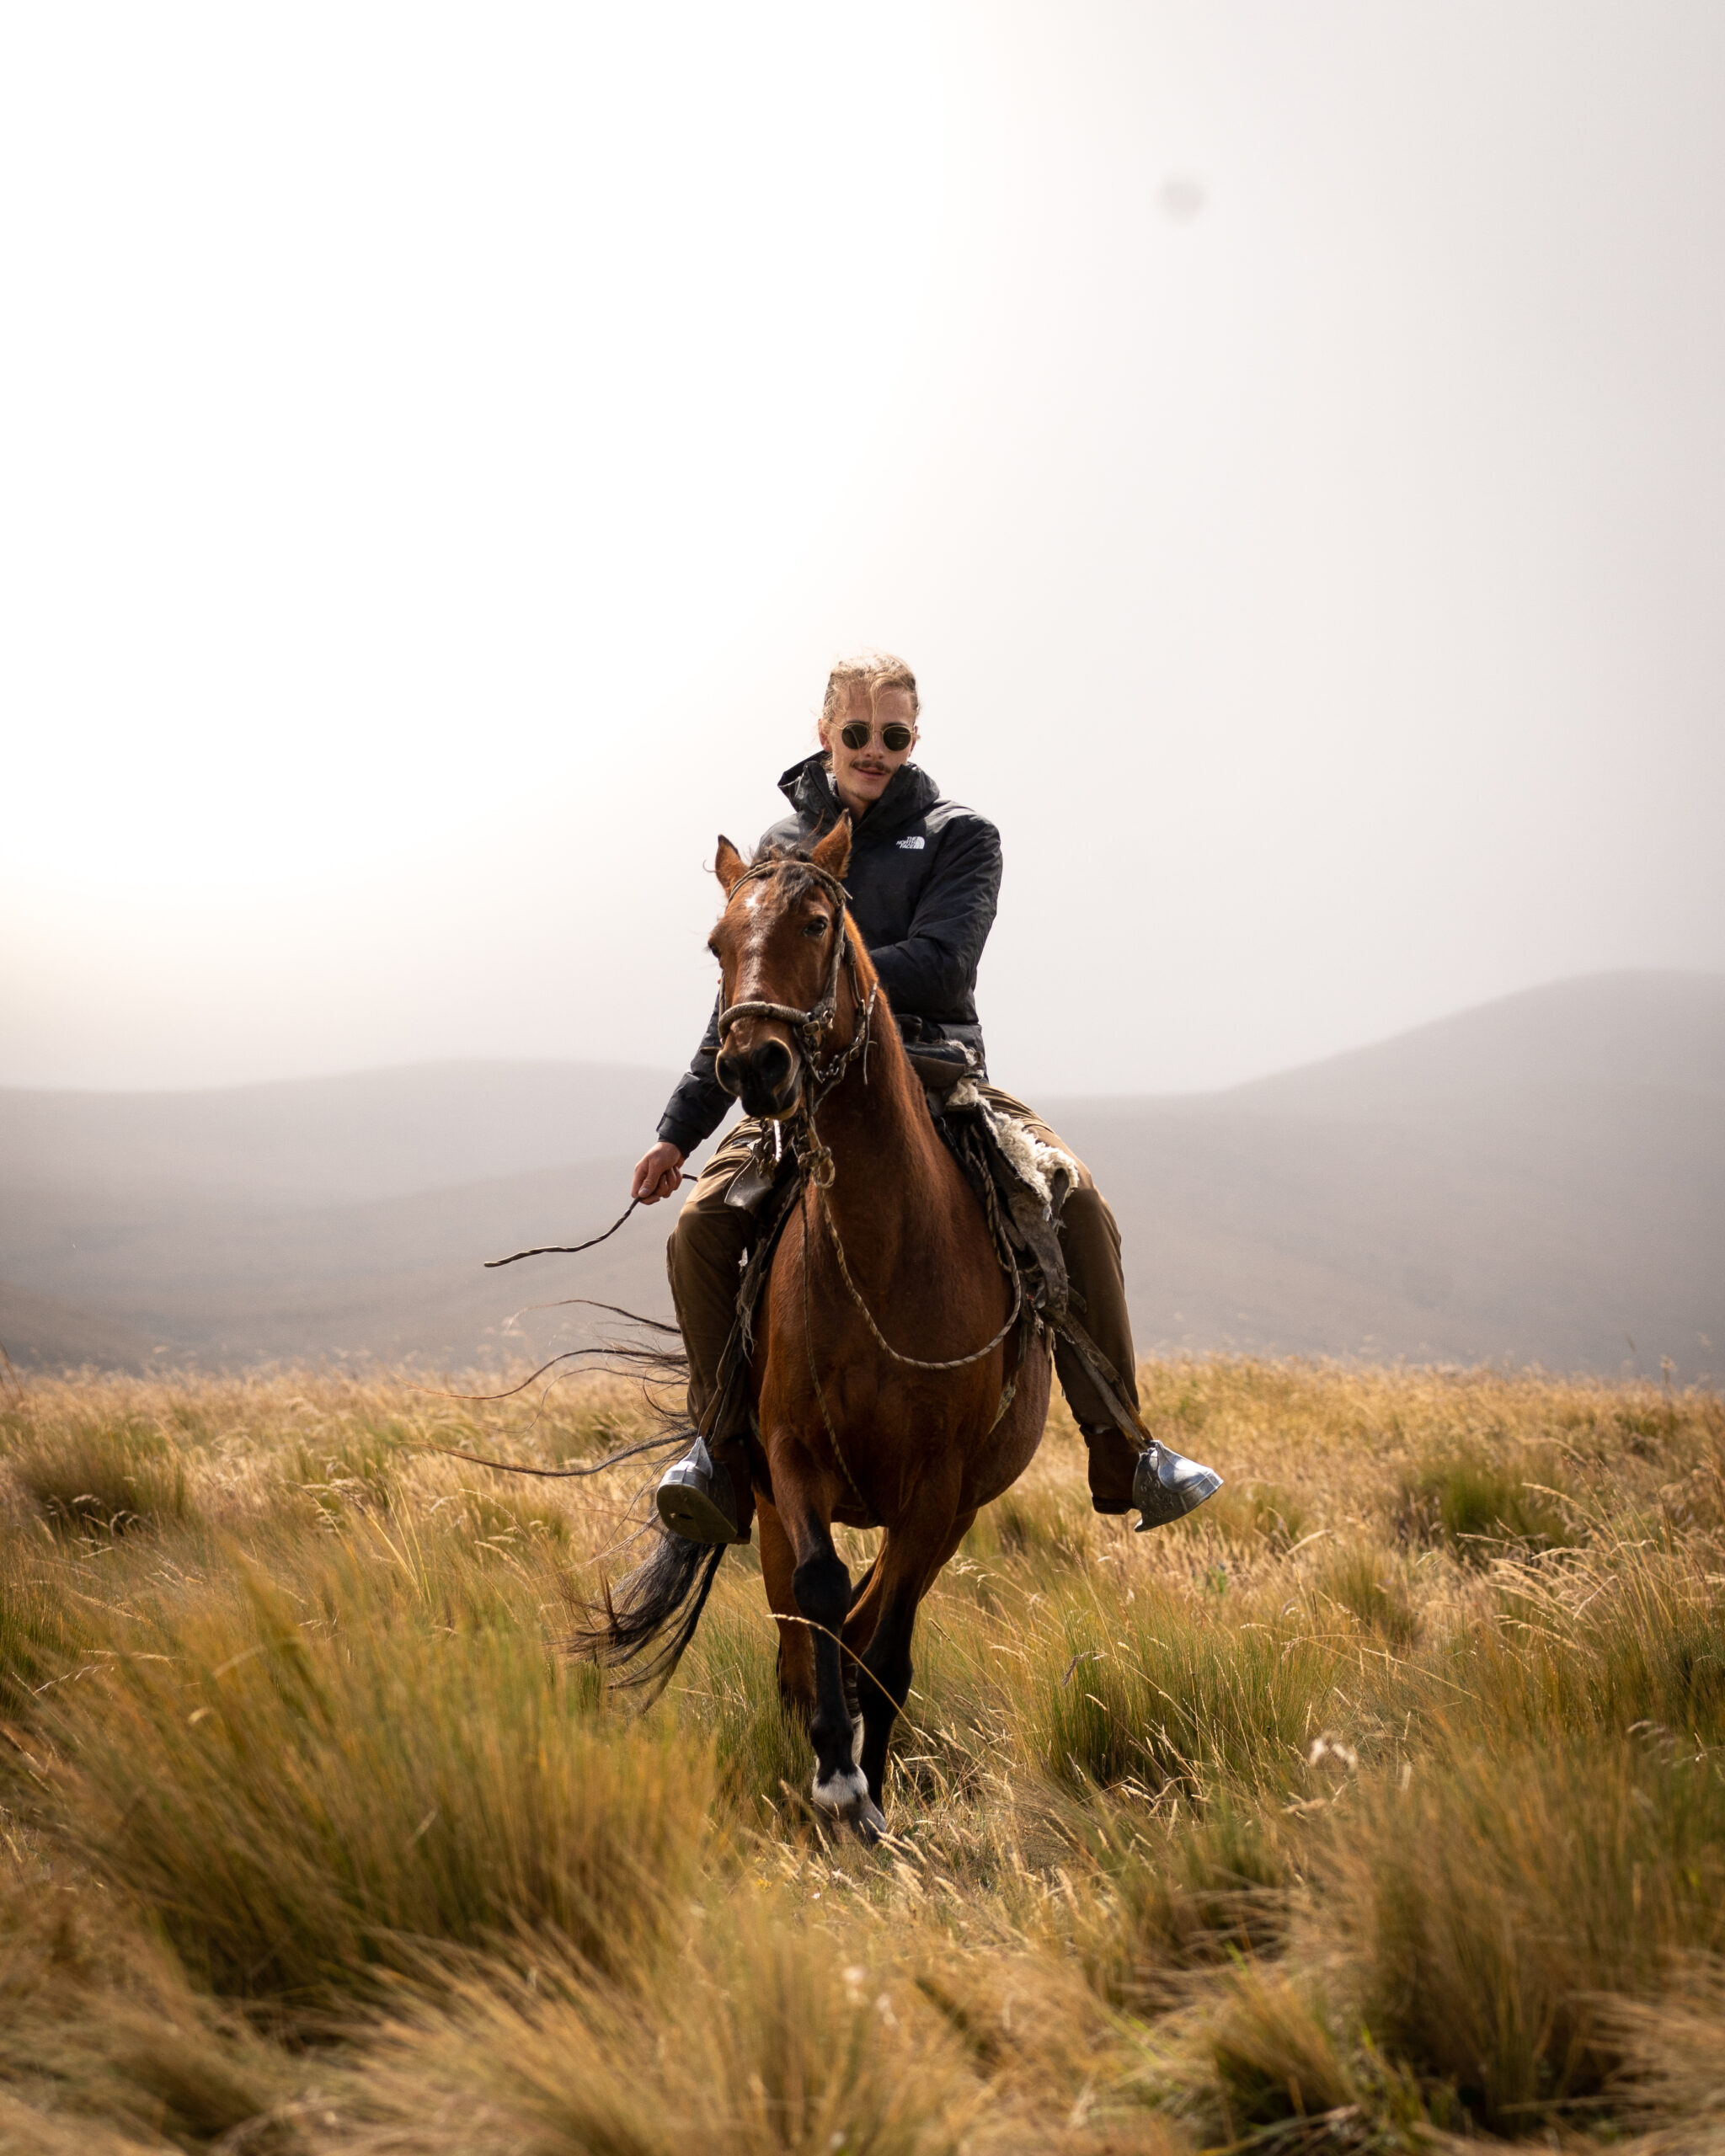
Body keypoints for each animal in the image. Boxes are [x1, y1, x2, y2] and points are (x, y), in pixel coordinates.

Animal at [595, 814, 1052, 1828]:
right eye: (717, 944)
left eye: (815, 924)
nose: (751, 1063)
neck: (884, 1249)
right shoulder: (793, 1458)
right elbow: (816, 1596)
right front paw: (836, 1772)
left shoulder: (935, 1490)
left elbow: (886, 1641)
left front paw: (868, 1782)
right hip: (763, 1497)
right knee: (804, 1627)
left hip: (954, 1509)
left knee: (875, 1617)